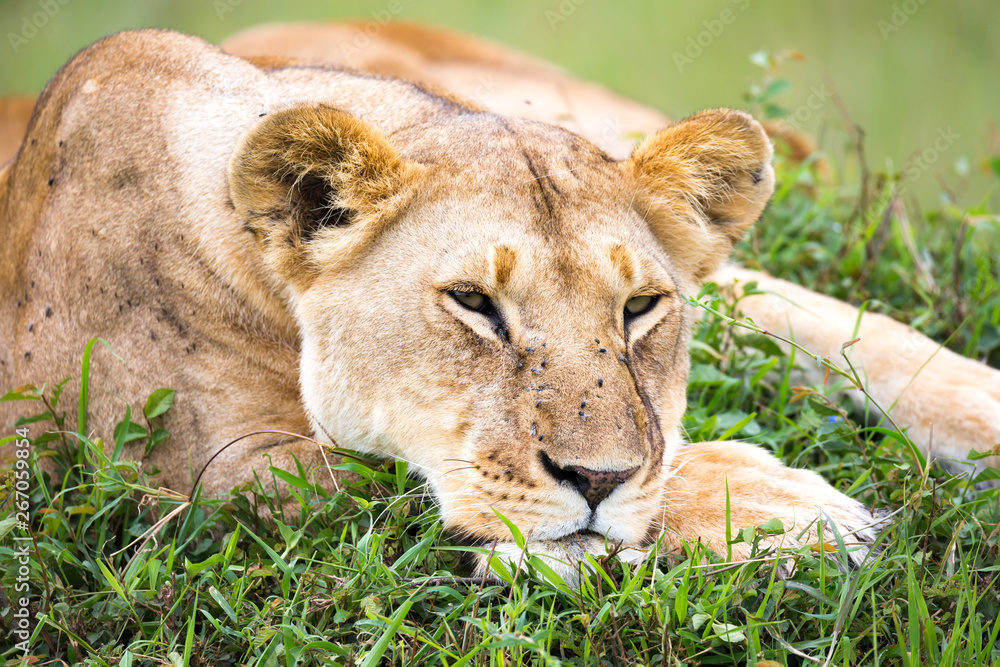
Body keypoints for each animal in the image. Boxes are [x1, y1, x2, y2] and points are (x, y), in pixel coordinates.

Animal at [0, 26, 993, 579]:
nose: (595, 477)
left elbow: (840, 325)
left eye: (640, 307)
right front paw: (784, 505)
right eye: (474, 302)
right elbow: (419, 485)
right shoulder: (198, 476)